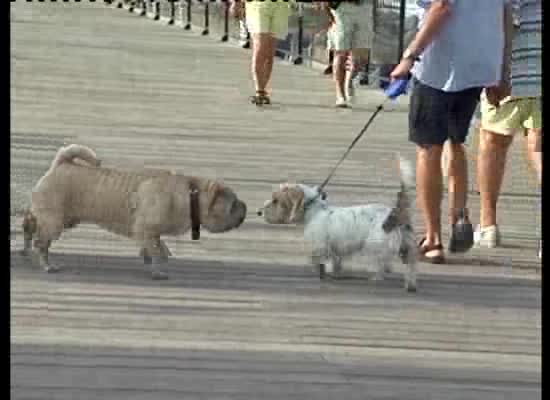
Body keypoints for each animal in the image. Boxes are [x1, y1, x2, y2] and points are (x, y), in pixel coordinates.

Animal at [20, 145, 248, 280]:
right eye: (233, 205)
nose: (245, 206)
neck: (192, 195)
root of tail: (60, 164)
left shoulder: (151, 233)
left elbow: (156, 247)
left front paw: (151, 257)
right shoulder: (146, 229)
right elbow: (156, 251)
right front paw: (157, 269)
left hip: (60, 219)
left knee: (30, 225)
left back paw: (25, 248)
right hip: (55, 222)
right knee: (42, 244)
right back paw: (47, 265)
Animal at [258, 155, 418, 290]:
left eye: (275, 200)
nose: (258, 212)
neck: (314, 211)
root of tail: (394, 213)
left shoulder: (320, 246)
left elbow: (317, 261)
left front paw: (321, 273)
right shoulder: (335, 250)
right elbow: (335, 262)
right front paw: (335, 272)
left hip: (374, 246)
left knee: (382, 266)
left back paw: (375, 279)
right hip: (408, 247)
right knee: (409, 268)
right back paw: (410, 286)